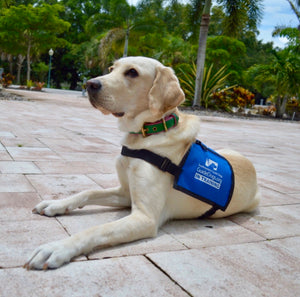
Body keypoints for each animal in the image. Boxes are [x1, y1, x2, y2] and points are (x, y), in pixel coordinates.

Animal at [24, 56, 258, 270]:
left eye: (132, 72)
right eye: (112, 69)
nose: (89, 84)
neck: (148, 133)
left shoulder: (145, 217)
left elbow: (99, 229)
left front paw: (57, 248)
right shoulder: (125, 193)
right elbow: (88, 191)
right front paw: (57, 204)